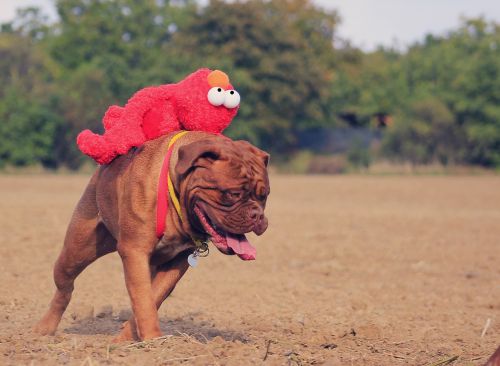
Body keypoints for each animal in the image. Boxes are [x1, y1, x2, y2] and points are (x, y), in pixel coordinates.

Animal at [33, 132, 270, 344]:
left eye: (264, 195)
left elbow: (152, 296)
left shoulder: (176, 262)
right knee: (64, 288)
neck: (175, 199)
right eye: (232, 194)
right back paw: (44, 329)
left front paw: (129, 338)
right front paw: (153, 339)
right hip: (77, 250)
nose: (257, 215)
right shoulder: (135, 252)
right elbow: (143, 298)